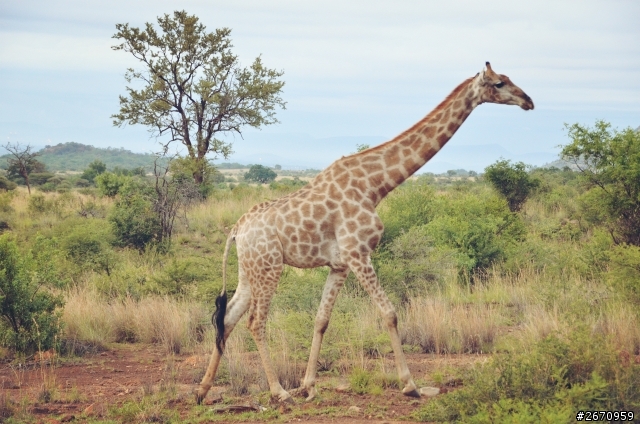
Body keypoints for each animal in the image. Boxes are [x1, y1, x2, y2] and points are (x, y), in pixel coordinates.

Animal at [196, 61, 536, 402]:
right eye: (499, 83)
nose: (529, 101)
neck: (375, 185)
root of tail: (236, 229)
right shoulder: (359, 253)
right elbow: (389, 313)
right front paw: (409, 384)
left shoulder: (340, 264)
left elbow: (321, 320)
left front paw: (309, 385)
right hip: (270, 267)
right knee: (255, 321)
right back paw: (279, 391)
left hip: (249, 269)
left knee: (228, 318)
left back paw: (203, 389)